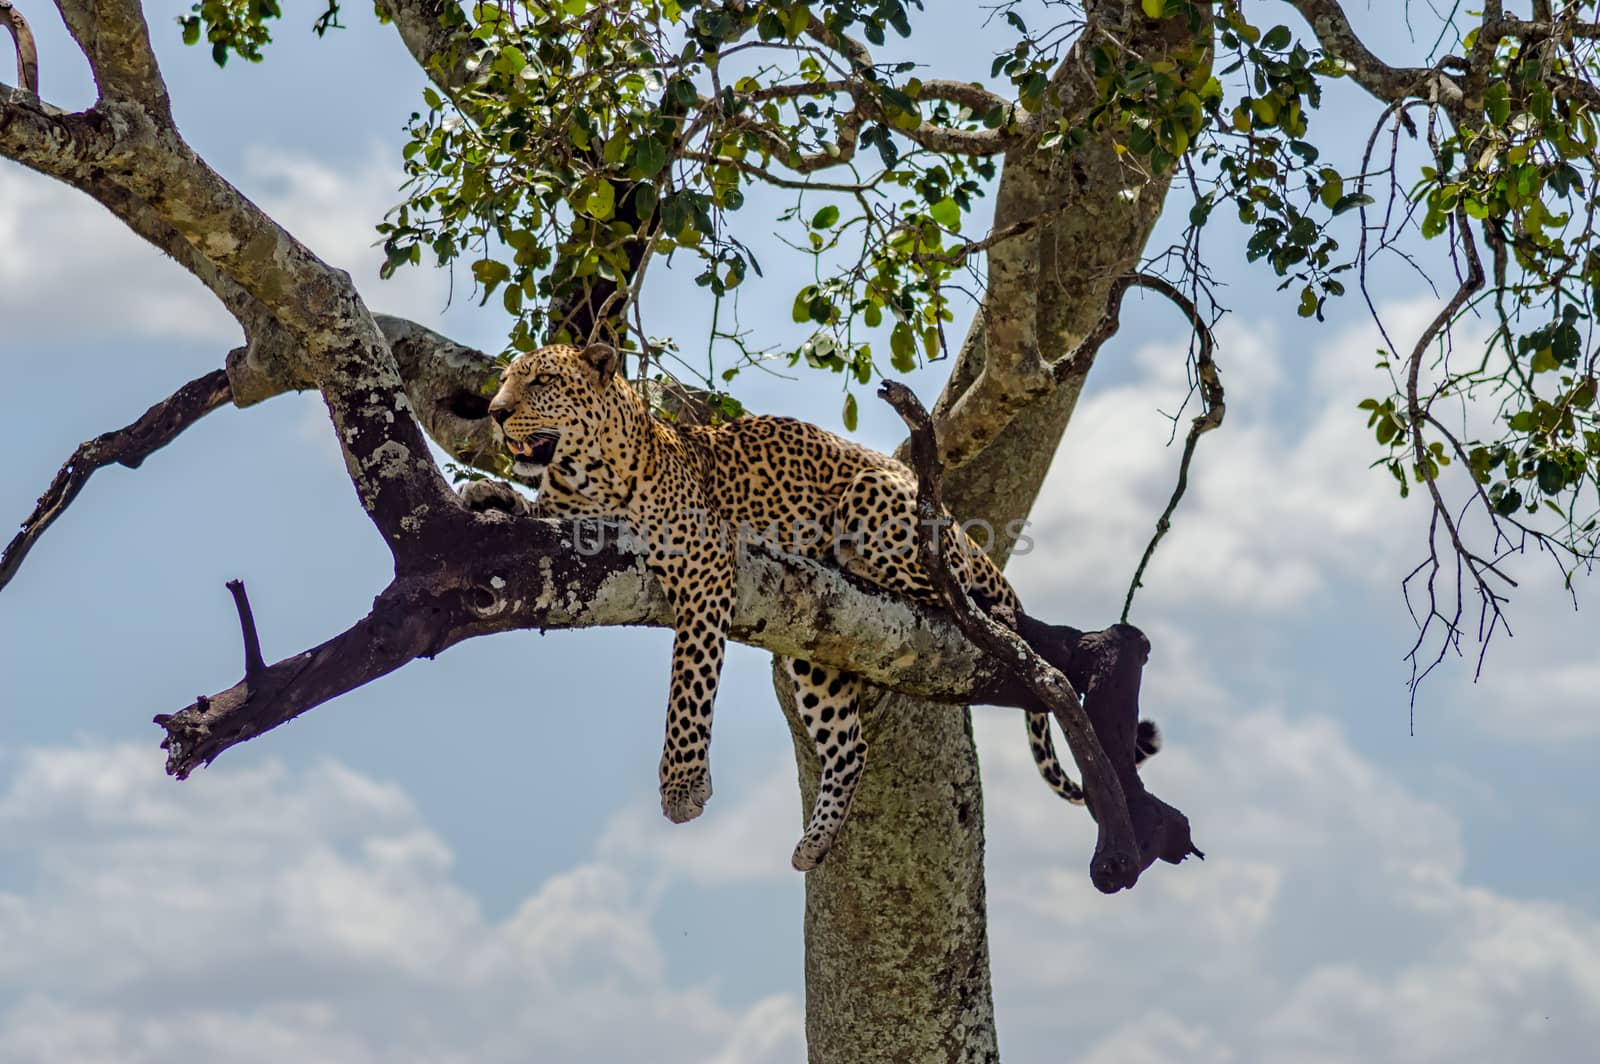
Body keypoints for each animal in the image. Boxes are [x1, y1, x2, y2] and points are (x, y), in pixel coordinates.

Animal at [464, 344, 1164, 870]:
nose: (495, 414)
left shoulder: (704, 566)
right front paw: (487, 494)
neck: (587, 473)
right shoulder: (564, 512)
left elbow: (688, 684)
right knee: (849, 745)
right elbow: (529, 506)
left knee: (962, 597)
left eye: (543, 381)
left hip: (876, 512)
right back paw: (817, 842)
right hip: (815, 646)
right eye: (505, 382)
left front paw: (683, 786)